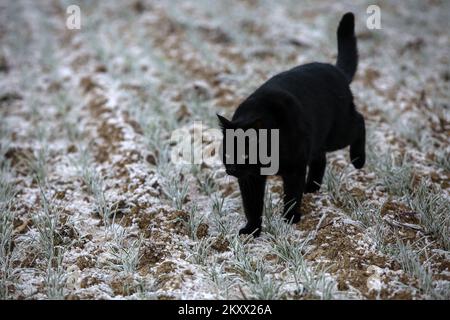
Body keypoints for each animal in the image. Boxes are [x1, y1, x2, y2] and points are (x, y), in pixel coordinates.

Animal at [218, 12, 366, 236]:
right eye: (227, 154)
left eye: (245, 154)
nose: (232, 169)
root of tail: (335, 70)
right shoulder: (250, 179)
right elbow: (252, 205)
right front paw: (252, 230)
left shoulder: (294, 168)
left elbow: (292, 195)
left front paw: (290, 218)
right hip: (318, 139)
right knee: (320, 157)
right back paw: (312, 188)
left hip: (338, 132)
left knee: (359, 121)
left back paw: (358, 160)